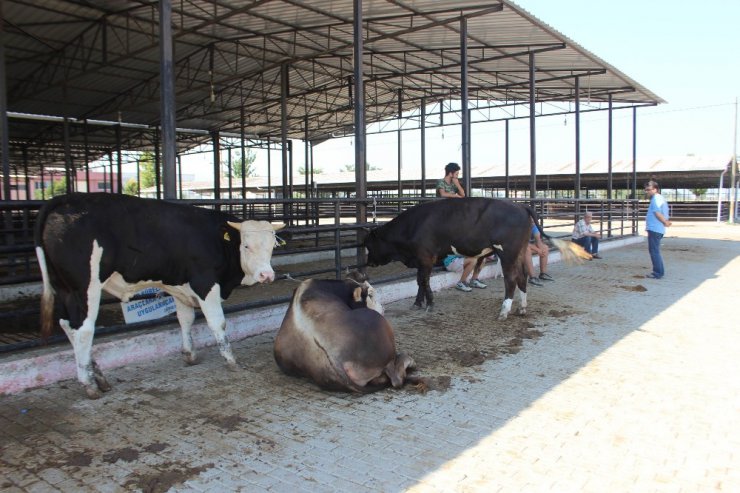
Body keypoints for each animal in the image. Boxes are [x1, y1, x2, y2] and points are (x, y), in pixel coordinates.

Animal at [34, 190, 284, 398]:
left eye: (272, 246)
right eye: (246, 246)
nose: (267, 275)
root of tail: (65, 199)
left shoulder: (180, 287)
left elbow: (185, 319)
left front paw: (189, 354)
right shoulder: (205, 284)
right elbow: (218, 323)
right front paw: (231, 360)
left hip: (65, 288)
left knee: (67, 325)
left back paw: (97, 375)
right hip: (86, 287)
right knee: (84, 330)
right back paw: (90, 384)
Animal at [274, 272, 416, 392]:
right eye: (370, 295)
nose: (383, 308)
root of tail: (337, 358)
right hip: (378, 324)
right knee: (396, 379)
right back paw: (409, 360)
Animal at [362, 199, 588, 320]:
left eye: (369, 245)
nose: (368, 263)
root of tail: (521, 206)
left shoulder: (425, 256)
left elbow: (424, 281)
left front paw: (429, 304)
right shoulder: (420, 259)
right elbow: (419, 281)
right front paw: (418, 302)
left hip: (507, 252)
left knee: (511, 280)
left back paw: (504, 312)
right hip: (520, 251)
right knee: (522, 277)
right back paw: (522, 308)